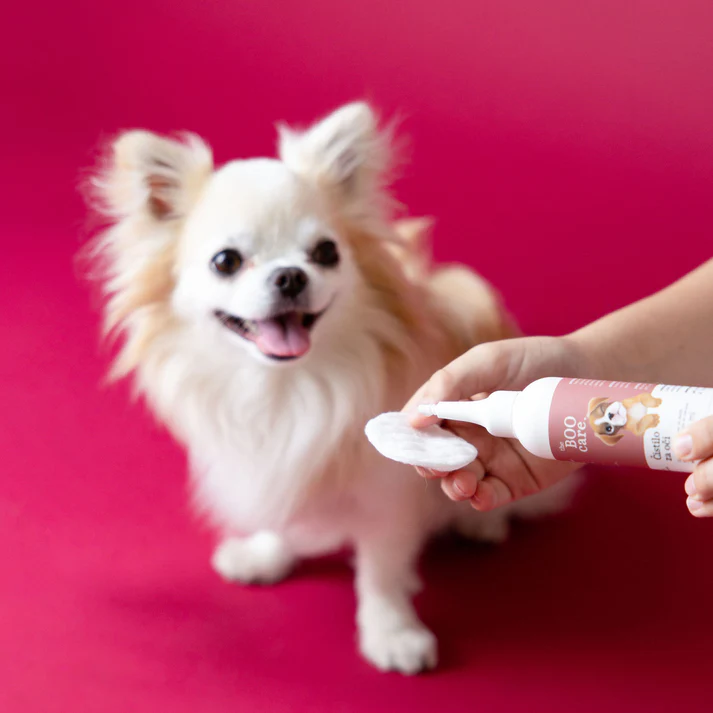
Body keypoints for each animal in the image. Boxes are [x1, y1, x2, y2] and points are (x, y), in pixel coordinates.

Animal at [85, 103, 572, 674]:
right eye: (226, 262)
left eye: (324, 253)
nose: (290, 276)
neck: (284, 388)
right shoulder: (269, 460)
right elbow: (281, 511)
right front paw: (265, 554)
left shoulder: (388, 497)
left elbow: (381, 570)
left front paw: (392, 633)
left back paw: (482, 524)